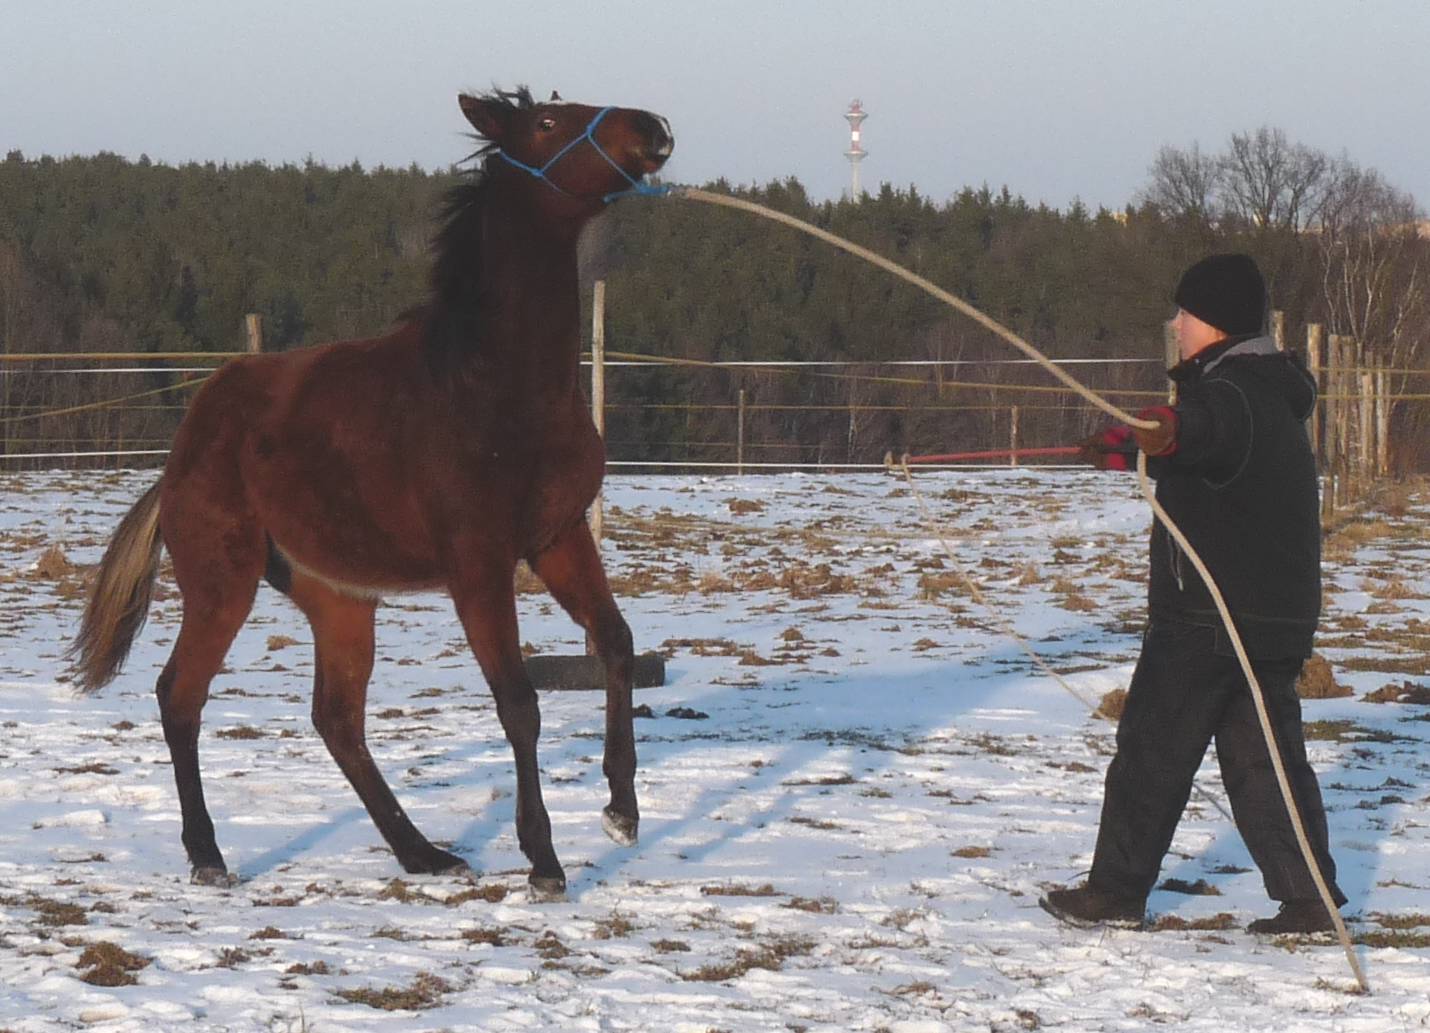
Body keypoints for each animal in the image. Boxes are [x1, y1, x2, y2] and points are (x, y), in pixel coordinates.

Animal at [75, 88, 677, 892]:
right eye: (548, 122)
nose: (651, 128)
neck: (495, 383)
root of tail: (179, 455)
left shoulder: (558, 536)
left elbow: (615, 643)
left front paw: (621, 809)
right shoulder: (477, 563)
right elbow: (519, 702)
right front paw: (544, 861)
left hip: (339, 598)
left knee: (337, 717)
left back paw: (422, 852)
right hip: (222, 579)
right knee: (182, 693)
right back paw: (209, 856)